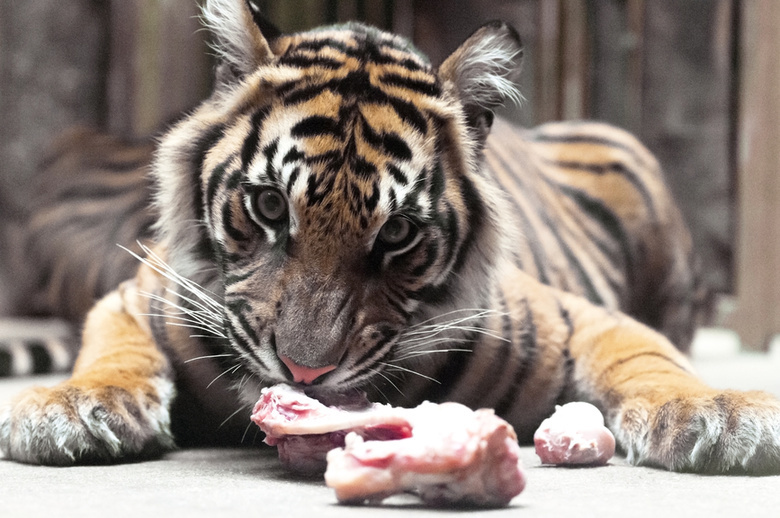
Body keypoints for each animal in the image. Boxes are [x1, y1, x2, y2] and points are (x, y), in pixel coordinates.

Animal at [1, 0, 780, 476]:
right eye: (269, 205)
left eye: (398, 232)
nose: (304, 372)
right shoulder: (138, 295)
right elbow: (112, 352)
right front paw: (67, 408)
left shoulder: (574, 317)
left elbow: (648, 357)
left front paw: (717, 414)